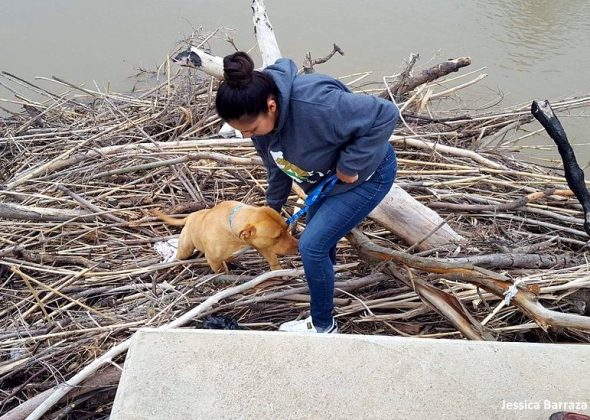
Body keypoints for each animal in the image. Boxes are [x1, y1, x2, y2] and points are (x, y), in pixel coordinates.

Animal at [154, 200, 300, 272]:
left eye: (286, 228)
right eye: (277, 236)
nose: (298, 246)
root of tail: (191, 216)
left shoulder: (262, 245)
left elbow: (272, 259)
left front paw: (278, 271)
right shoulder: (213, 260)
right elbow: (221, 272)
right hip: (185, 249)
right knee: (180, 254)